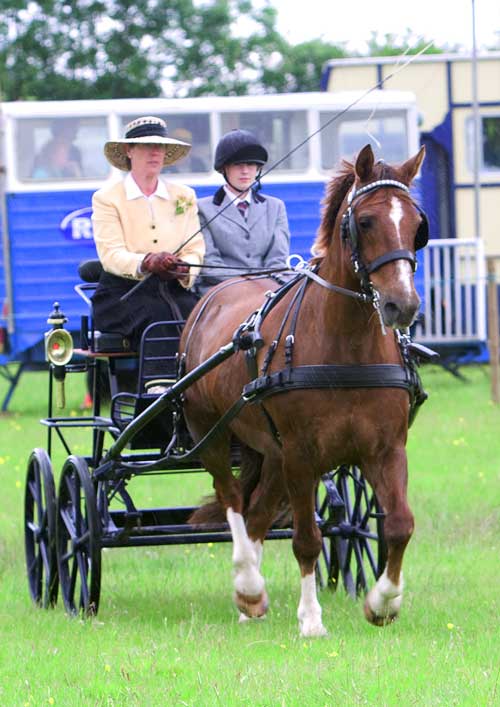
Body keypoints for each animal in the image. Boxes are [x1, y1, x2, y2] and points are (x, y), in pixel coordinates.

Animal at [179, 144, 426, 636]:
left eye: (415, 223)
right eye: (365, 221)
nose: (402, 305)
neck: (346, 347)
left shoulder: (385, 449)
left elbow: (399, 524)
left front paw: (383, 603)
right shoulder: (301, 454)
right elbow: (307, 540)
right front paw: (311, 620)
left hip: (272, 454)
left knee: (256, 512)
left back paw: (250, 599)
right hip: (212, 434)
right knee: (232, 500)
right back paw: (248, 585)